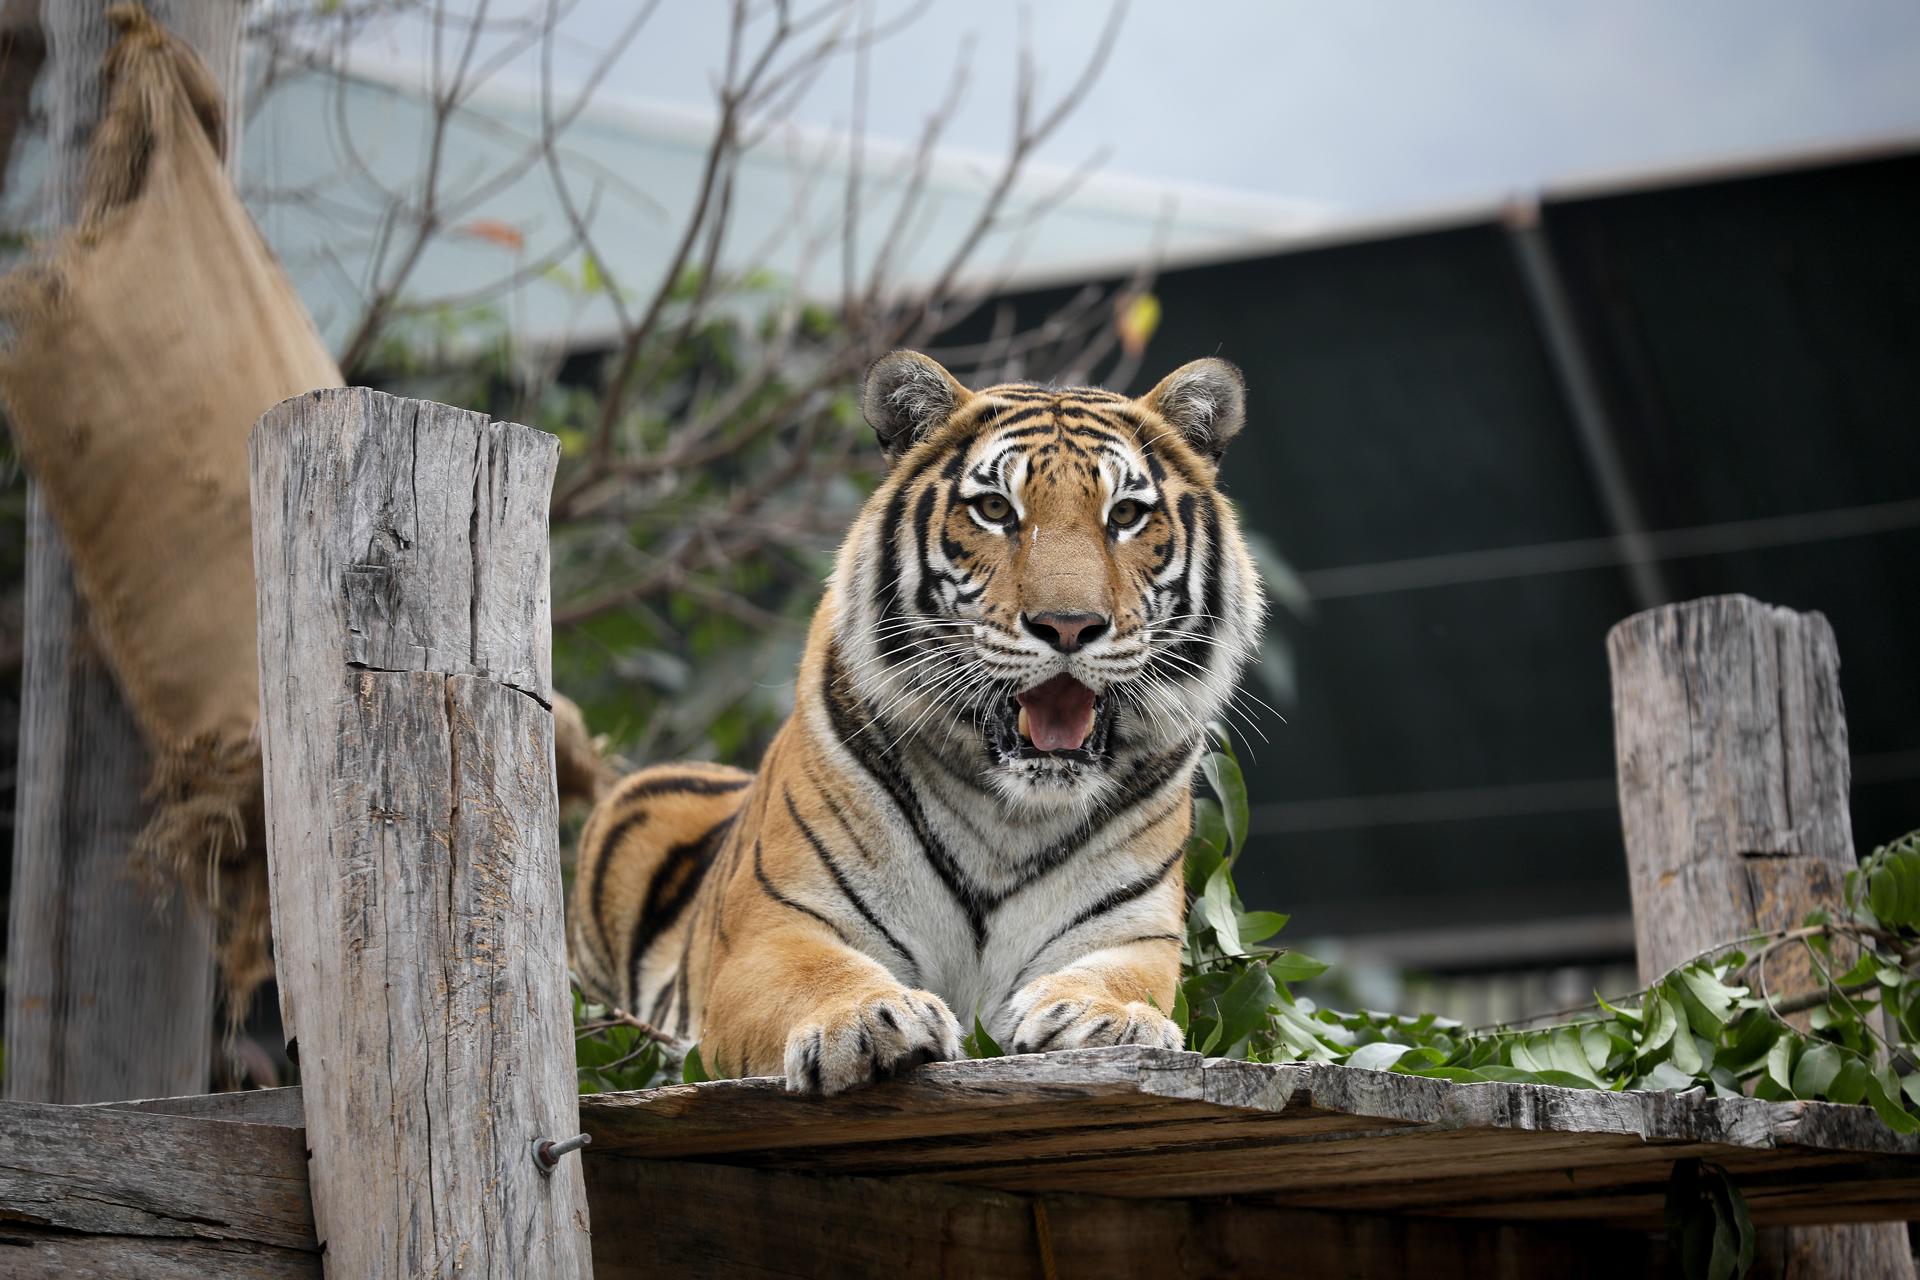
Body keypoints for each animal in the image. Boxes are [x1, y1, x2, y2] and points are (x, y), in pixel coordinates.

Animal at [564, 351, 1259, 1090]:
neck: (1010, 816)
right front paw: (866, 1021)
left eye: (1125, 514)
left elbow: (1127, 982)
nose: (1068, 626)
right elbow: (814, 974)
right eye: (994, 509)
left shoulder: (1133, 933)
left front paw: (1107, 1018)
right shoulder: (774, 929)